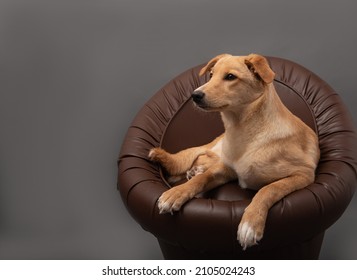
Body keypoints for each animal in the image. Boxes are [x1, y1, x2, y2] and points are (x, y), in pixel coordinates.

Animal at [146, 54, 318, 249]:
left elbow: (268, 189)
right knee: (196, 156)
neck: (243, 132)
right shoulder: (227, 169)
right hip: (215, 149)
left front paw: (250, 223)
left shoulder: (303, 174)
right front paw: (177, 193)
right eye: (211, 75)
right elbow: (201, 179)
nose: (195, 95)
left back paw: (195, 169)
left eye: (230, 77)